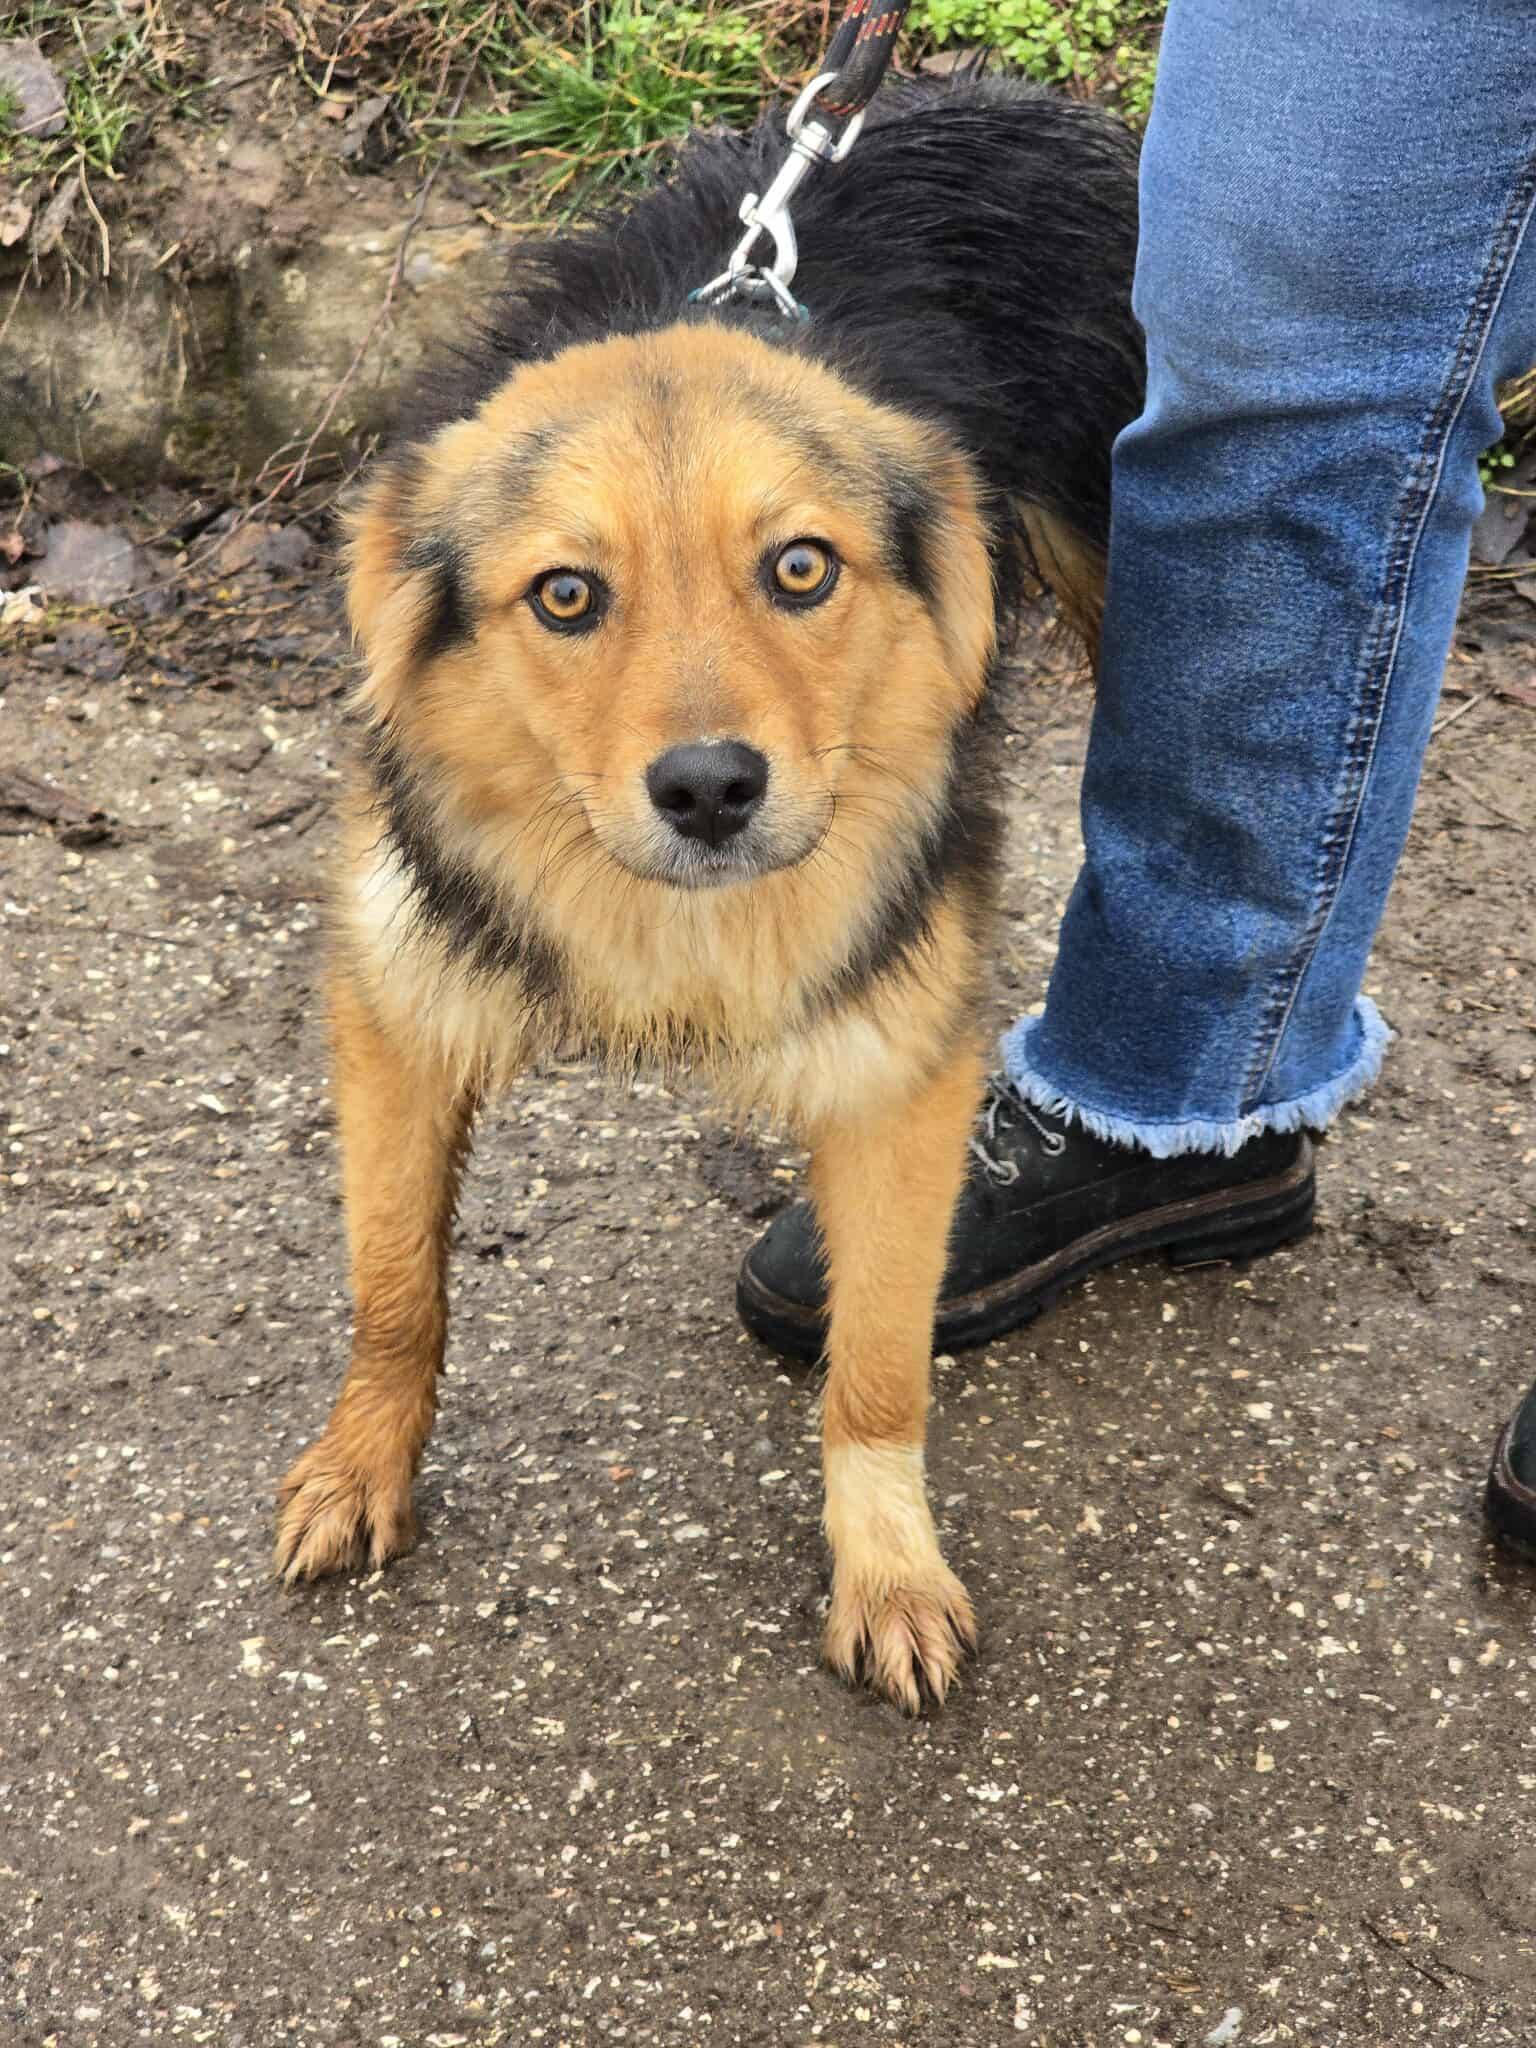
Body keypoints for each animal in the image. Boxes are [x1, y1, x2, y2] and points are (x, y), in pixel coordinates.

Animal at [273, 76, 1143, 1710]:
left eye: (800, 569)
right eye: (566, 596)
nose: (710, 790)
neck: (666, 916)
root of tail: (1004, 89)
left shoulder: (901, 1068)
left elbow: (877, 1371)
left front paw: (888, 1568)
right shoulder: (396, 994)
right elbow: (393, 1288)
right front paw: (363, 1465)